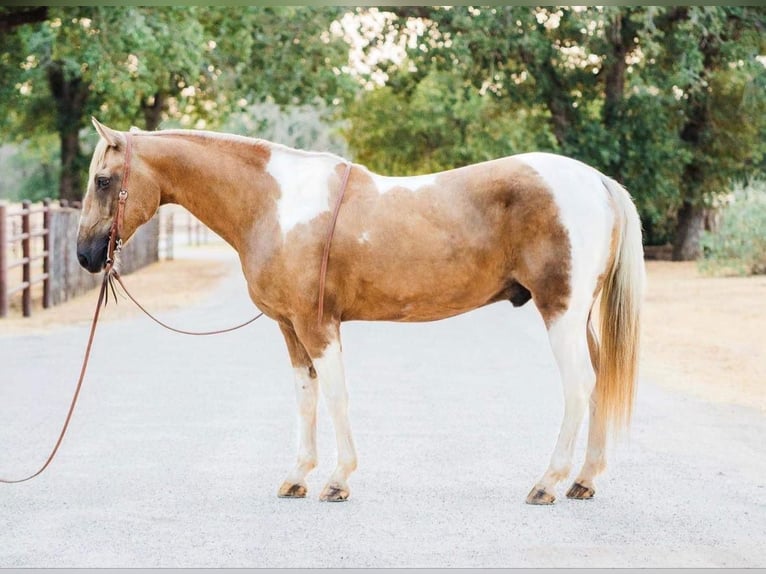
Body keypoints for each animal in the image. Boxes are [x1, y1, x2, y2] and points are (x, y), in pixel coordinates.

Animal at [78, 119, 644, 506]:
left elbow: (336, 396)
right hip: (578, 318)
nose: (85, 255)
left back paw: (547, 483)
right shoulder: (290, 328)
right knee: (598, 380)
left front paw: (337, 480)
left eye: (103, 180)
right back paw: (583, 480)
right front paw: (298, 477)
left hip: (561, 311)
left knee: (579, 385)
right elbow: (305, 397)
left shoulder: (317, 325)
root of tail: (597, 182)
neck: (277, 205)